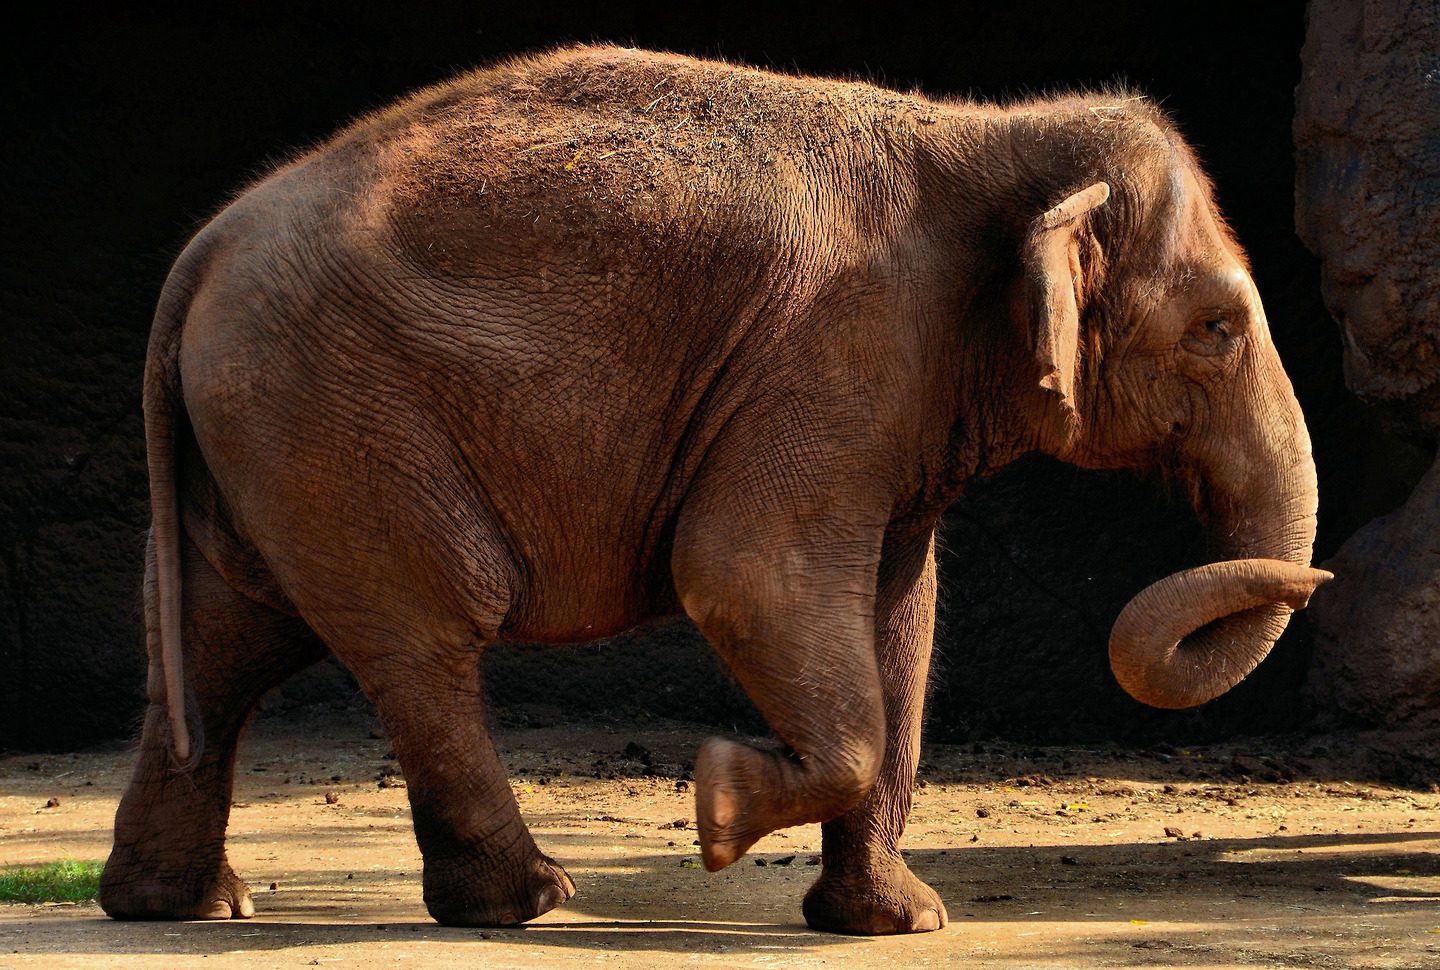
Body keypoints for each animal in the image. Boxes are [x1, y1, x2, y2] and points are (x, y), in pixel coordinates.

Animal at [100, 45, 1331, 935]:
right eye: (1218, 330)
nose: (1315, 574)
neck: (990, 134)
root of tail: (202, 252)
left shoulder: (891, 391)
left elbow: (898, 619)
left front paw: (894, 923)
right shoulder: (833, 353)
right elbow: (747, 576)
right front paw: (718, 805)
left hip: (272, 427)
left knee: (225, 641)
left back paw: (182, 906)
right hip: (340, 419)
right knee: (423, 638)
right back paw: (529, 902)